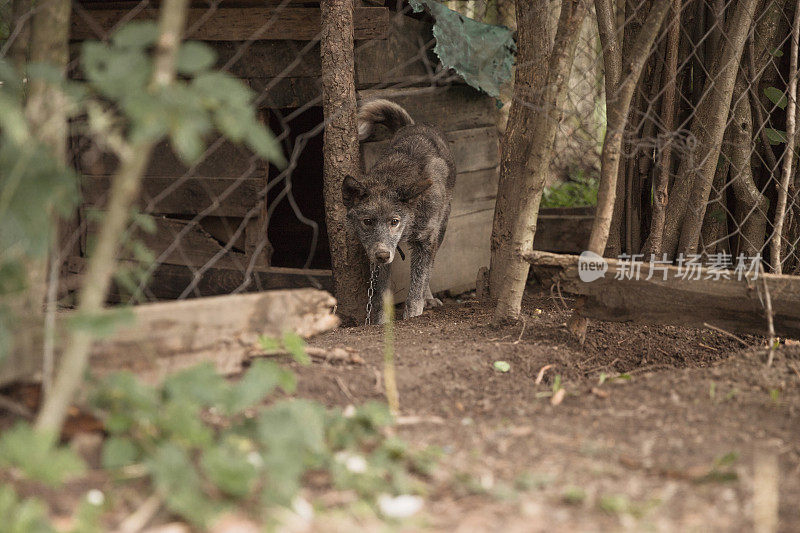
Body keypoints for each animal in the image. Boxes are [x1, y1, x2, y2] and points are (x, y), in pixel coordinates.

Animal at [340, 98, 456, 320]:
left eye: (395, 221)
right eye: (367, 221)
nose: (383, 256)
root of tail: (412, 125)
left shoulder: (426, 241)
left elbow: (418, 285)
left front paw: (413, 315)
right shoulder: (379, 254)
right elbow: (381, 296)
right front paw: (382, 323)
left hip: (441, 230)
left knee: (429, 269)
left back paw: (428, 298)